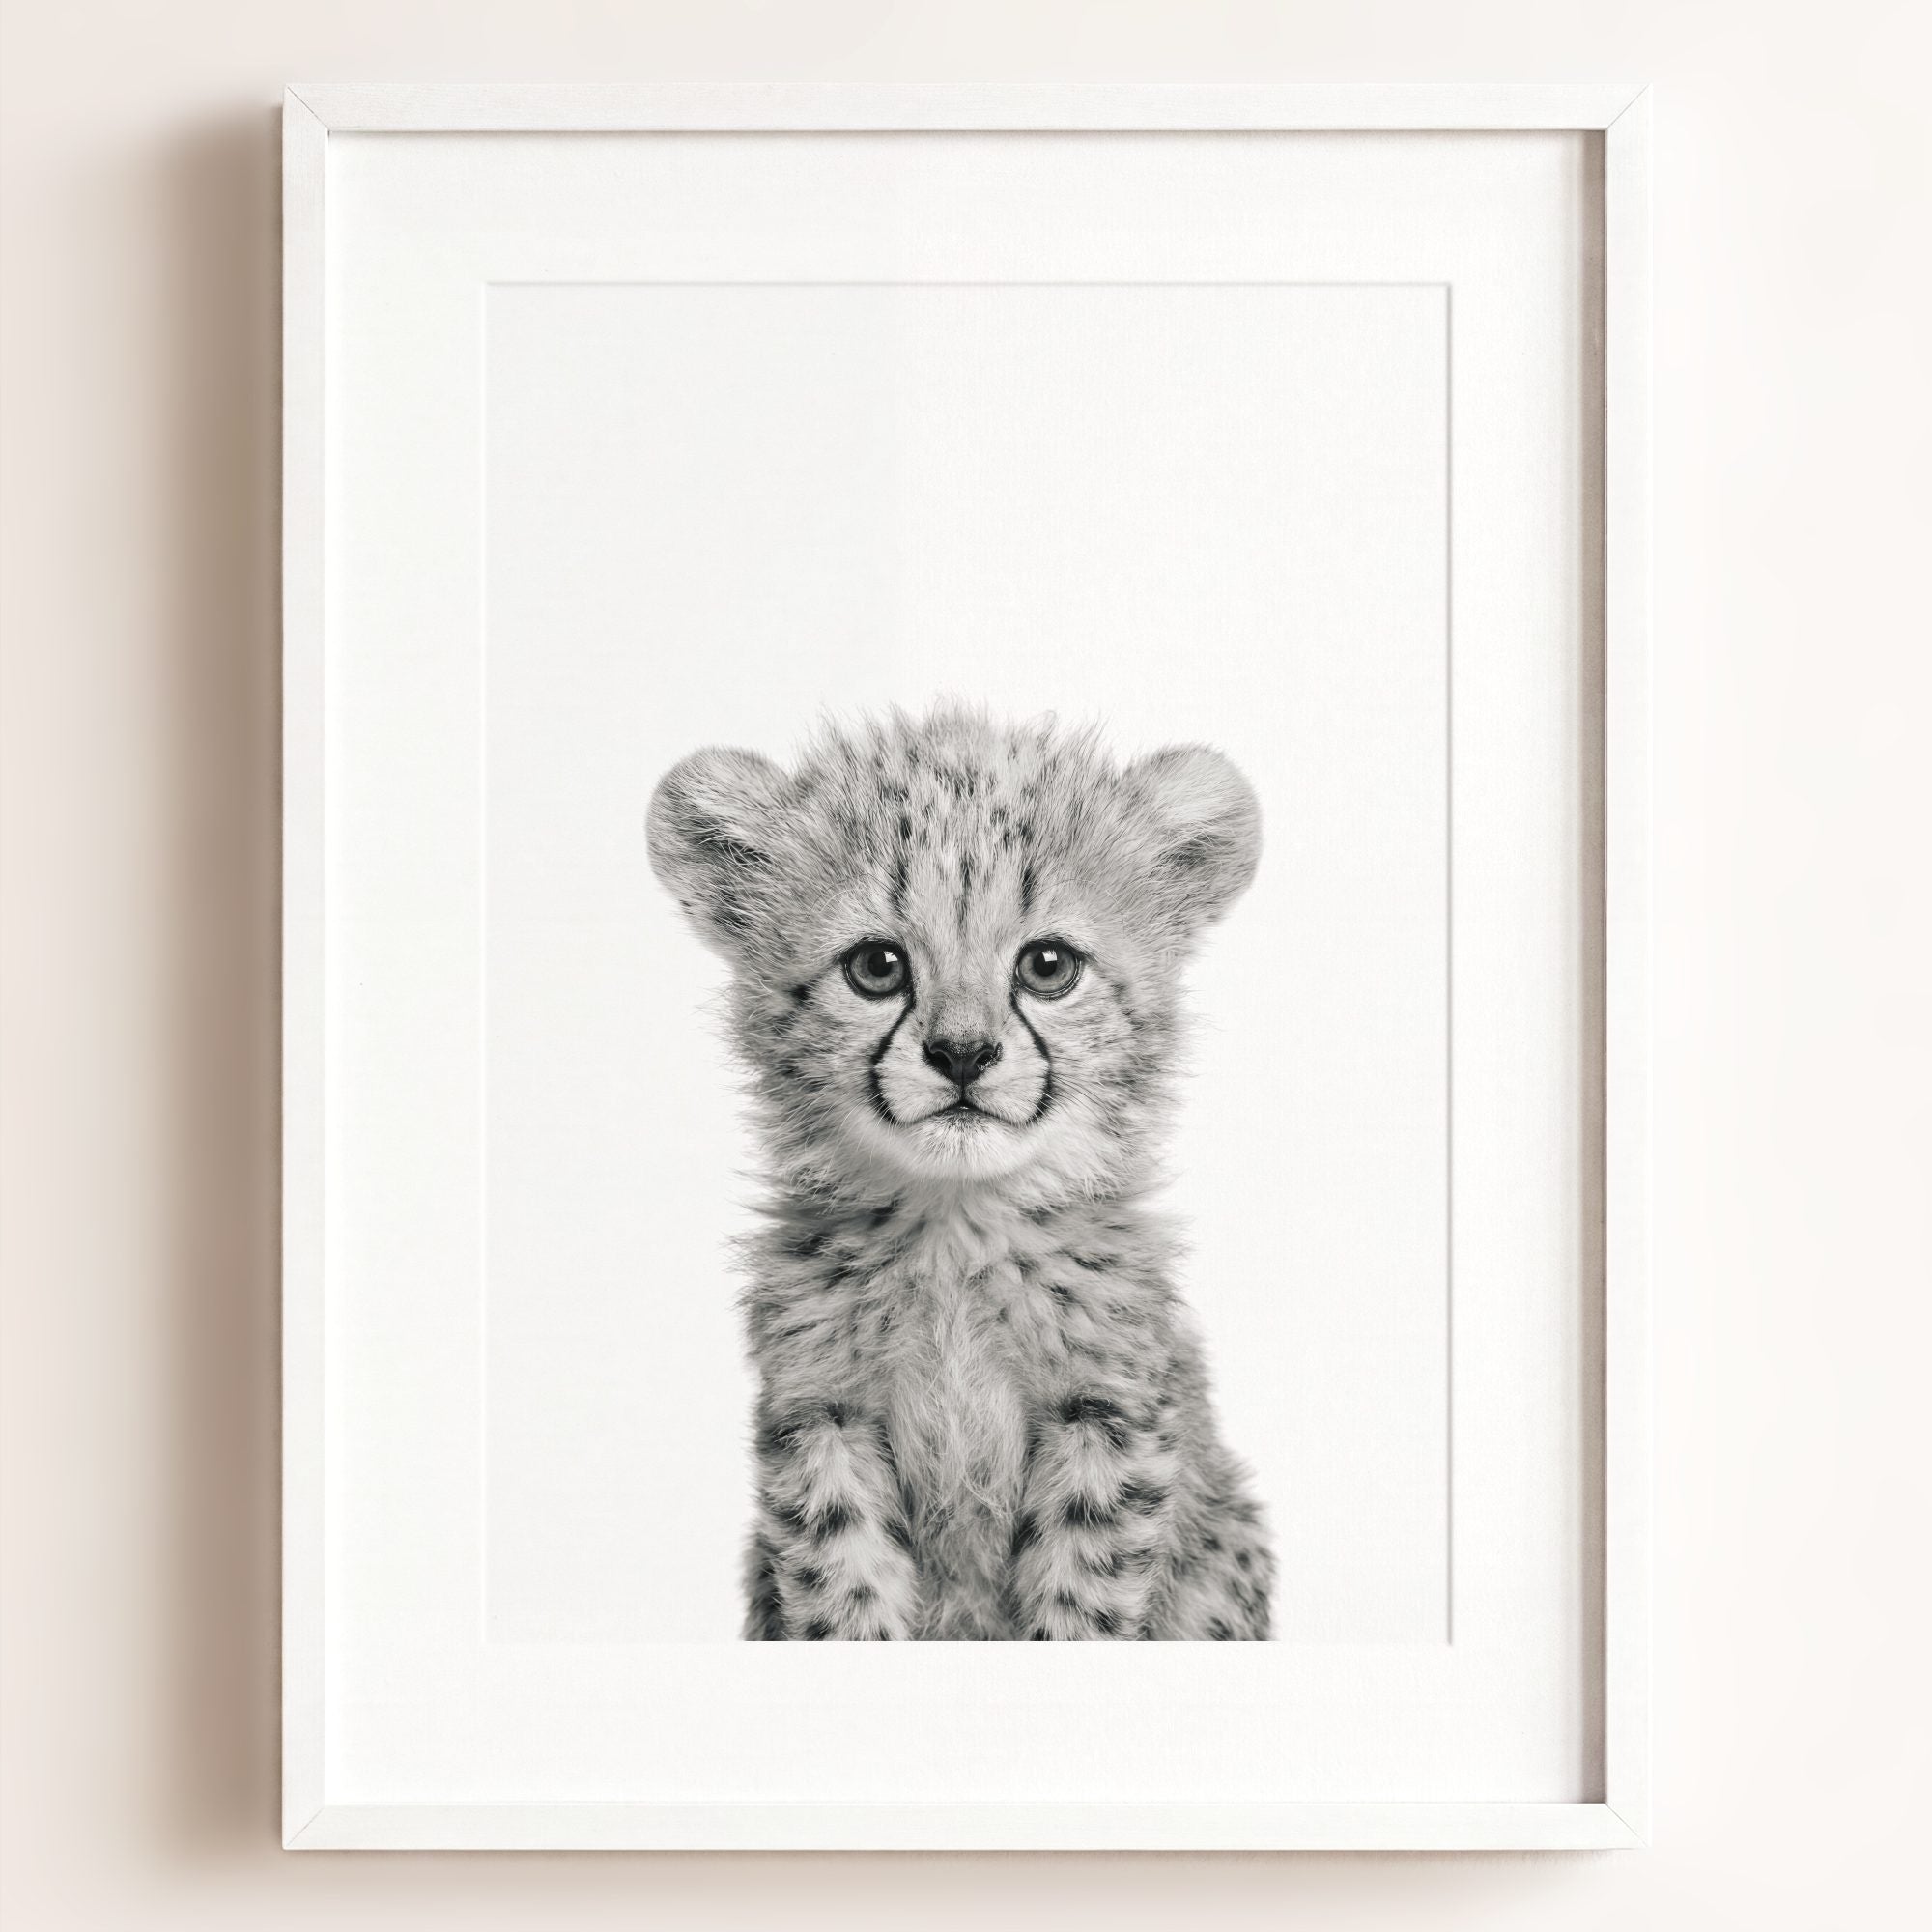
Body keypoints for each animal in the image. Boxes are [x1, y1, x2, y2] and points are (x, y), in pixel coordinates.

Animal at [648, 704, 1274, 1639]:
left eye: (1048, 966)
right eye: (877, 967)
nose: (963, 1054)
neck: (956, 1226)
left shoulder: (1106, 1415)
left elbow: (1082, 1600)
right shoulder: (821, 1418)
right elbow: (844, 1593)